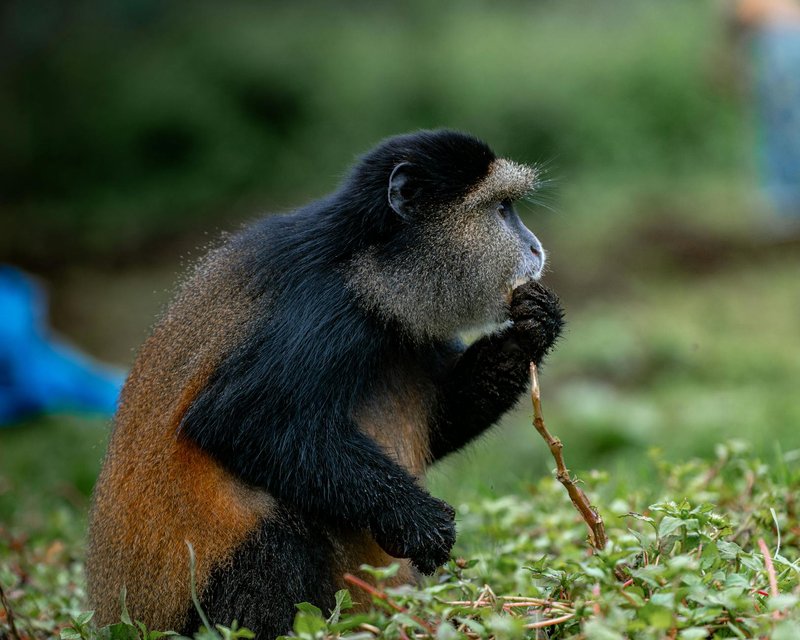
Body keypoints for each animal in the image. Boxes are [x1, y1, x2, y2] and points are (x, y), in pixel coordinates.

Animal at [86, 129, 564, 638]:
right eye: (501, 208)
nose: (536, 248)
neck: (366, 260)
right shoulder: (324, 307)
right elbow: (240, 421)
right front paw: (417, 519)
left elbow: (445, 419)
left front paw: (533, 328)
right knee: (276, 530)